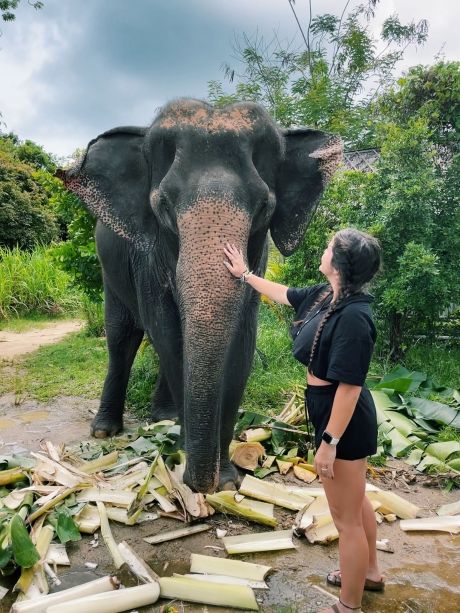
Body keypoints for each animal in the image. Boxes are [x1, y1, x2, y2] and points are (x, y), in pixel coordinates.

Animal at [58, 100, 342, 492]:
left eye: (263, 208)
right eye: (163, 206)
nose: (198, 482)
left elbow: (239, 349)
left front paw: (225, 482)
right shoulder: (147, 258)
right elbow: (169, 337)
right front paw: (185, 461)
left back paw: (163, 417)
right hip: (110, 273)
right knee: (122, 337)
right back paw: (105, 431)